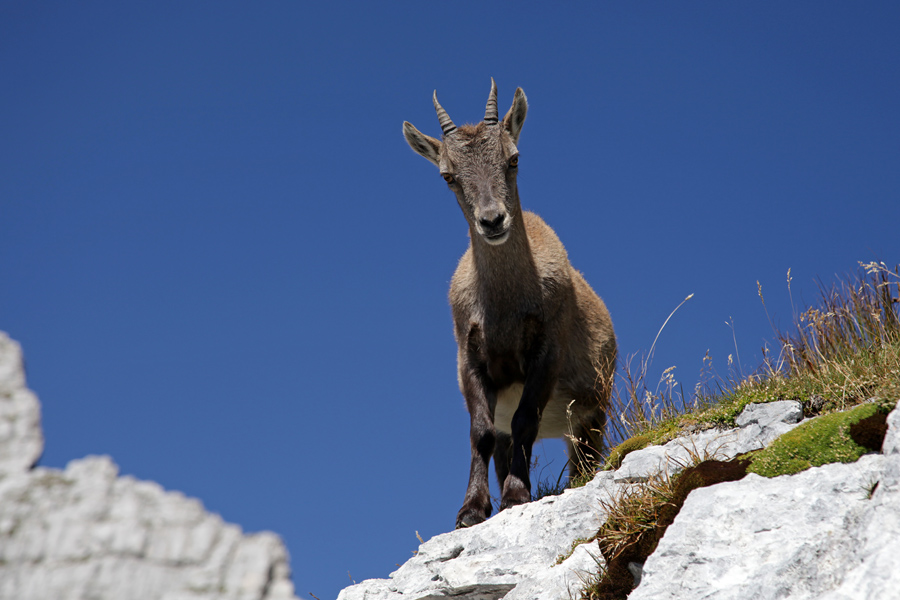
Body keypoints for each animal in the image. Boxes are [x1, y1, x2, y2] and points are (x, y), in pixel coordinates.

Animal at [403, 80, 617, 529]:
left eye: (513, 158)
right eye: (448, 176)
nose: (492, 220)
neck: (503, 305)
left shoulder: (546, 351)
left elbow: (525, 421)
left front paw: (517, 496)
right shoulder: (471, 358)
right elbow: (480, 433)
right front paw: (471, 510)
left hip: (590, 415)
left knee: (583, 460)